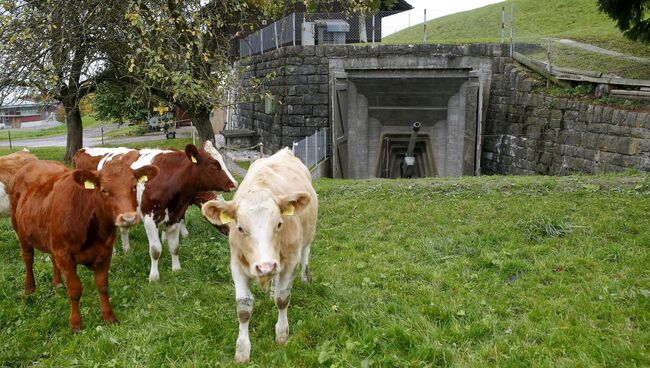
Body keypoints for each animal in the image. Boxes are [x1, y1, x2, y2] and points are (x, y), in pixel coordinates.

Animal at [8, 160, 157, 332]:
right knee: (27, 258)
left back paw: (57, 284)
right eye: (104, 190)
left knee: (52, 259)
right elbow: (75, 290)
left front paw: (109, 316)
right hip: (19, 229)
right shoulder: (65, 256)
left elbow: (102, 285)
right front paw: (76, 324)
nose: (128, 218)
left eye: (134, 186)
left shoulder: (105, 253)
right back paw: (30, 288)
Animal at [200, 148, 316, 364]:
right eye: (239, 228)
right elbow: (244, 308)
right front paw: (242, 351)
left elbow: (282, 298)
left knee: (306, 254)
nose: (265, 267)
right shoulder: (236, 264)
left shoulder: (289, 262)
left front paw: (281, 334)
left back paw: (305, 278)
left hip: (308, 237)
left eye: (279, 224)